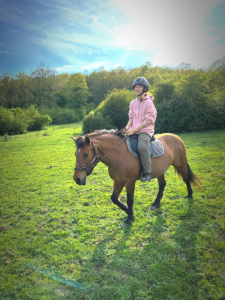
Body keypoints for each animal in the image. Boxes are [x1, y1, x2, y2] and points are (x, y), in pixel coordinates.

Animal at [72, 129, 200, 227]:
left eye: (85, 154)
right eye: (75, 154)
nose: (77, 179)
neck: (118, 155)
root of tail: (176, 137)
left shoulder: (129, 182)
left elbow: (130, 200)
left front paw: (129, 218)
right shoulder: (118, 181)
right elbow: (114, 198)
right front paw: (129, 213)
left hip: (181, 165)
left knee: (186, 179)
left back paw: (190, 195)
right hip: (160, 170)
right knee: (162, 184)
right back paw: (156, 203)